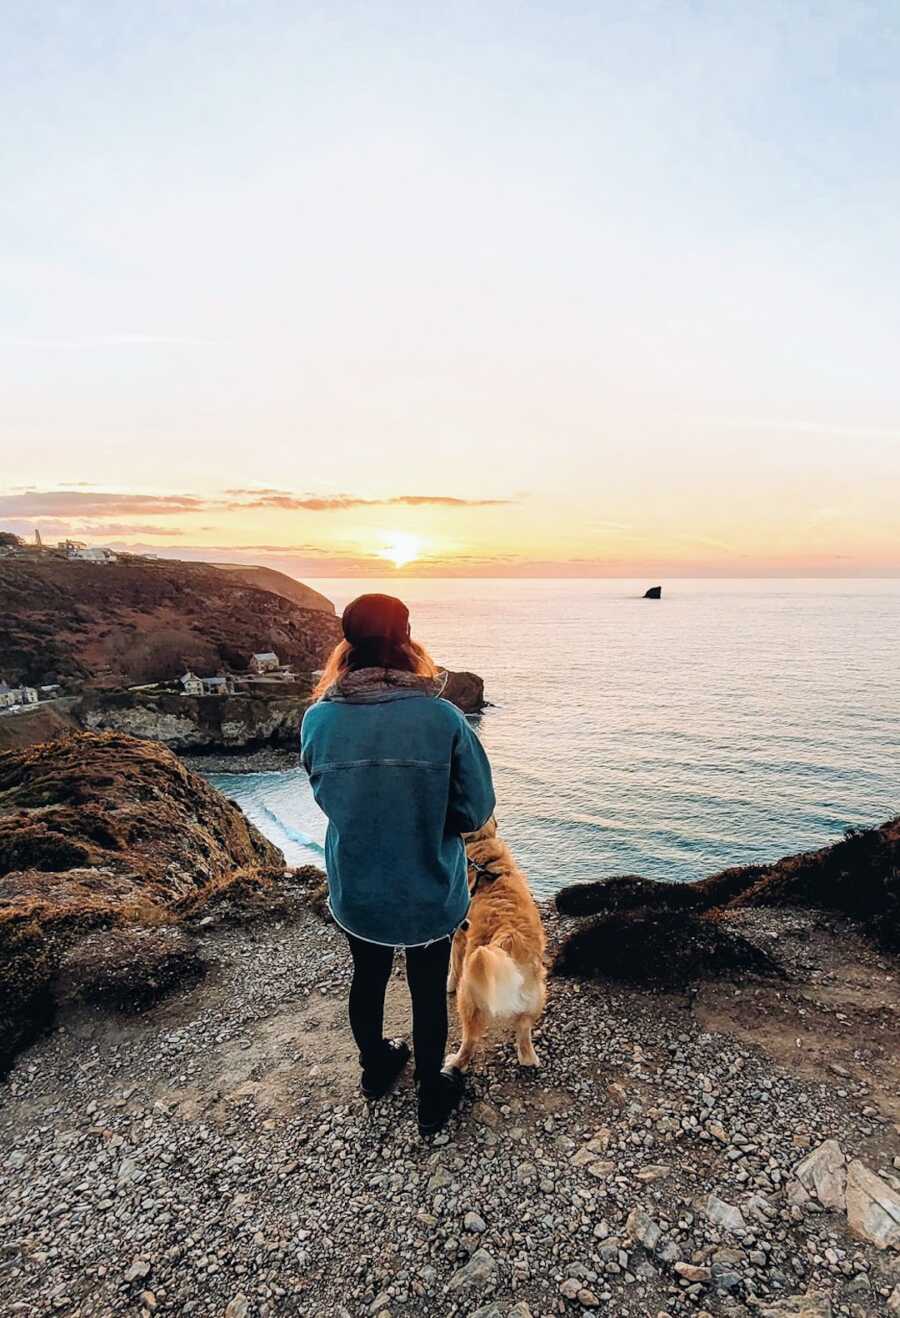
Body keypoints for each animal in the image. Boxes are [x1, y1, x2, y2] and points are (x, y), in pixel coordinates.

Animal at [445, 822, 545, 1070]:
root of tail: (510, 936)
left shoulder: (458, 935)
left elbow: (453, 966)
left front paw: (448, 984)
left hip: (469, 996)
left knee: (469, 1041)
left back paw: (455, 1062)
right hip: (534, 998)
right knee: (524, 1036)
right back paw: (528, 1058)